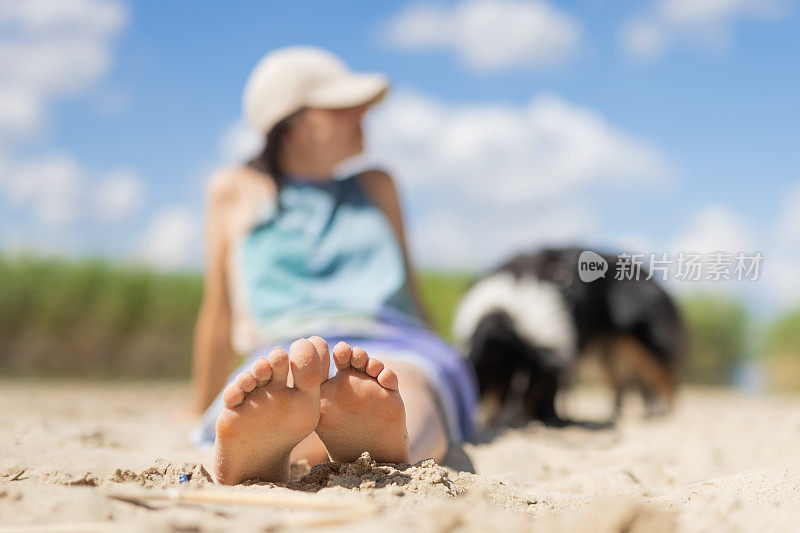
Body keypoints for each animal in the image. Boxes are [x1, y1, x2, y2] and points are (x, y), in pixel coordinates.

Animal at [456, 247, 688, 426]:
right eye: (501, 383)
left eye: (531, 391)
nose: (511, 423)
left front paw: (552, 418)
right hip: (610, 354)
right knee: (625, 383)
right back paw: (618, 414)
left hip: (649, 344)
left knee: (662, 379)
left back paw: (661, 413)